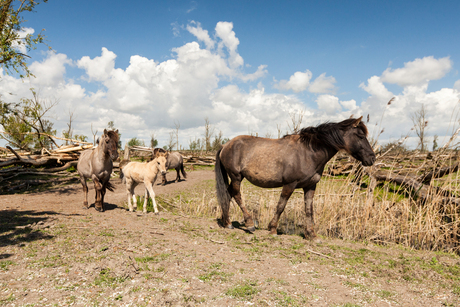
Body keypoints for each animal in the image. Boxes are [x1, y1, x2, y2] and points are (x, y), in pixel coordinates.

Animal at [214, 116, 376, 239]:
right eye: (361, 136)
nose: (372, 158)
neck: (308, 153)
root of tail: (225, 145)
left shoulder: (310, 186)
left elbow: (309, 209)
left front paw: (311, 234)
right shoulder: (290, 184)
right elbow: (281, 206)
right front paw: (272, 228)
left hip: (236, 177)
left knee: (228, 194)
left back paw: (227, 223)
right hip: (236, 176)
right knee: (236, 194)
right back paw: (249, 224)